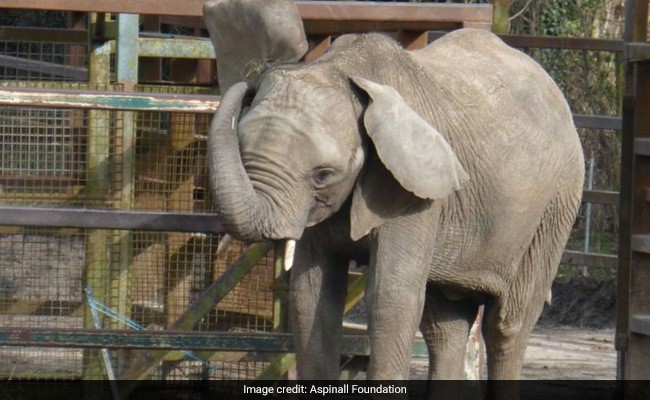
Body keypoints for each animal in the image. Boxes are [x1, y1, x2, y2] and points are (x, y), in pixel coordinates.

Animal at [203, 0, 584, 386]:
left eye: (324, 174)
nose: (250, 83)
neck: (343, 68)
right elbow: (310, 295)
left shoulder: (416, 193)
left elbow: (391, 298)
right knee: (444, 325)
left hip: (557, 205)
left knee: (506, 326)